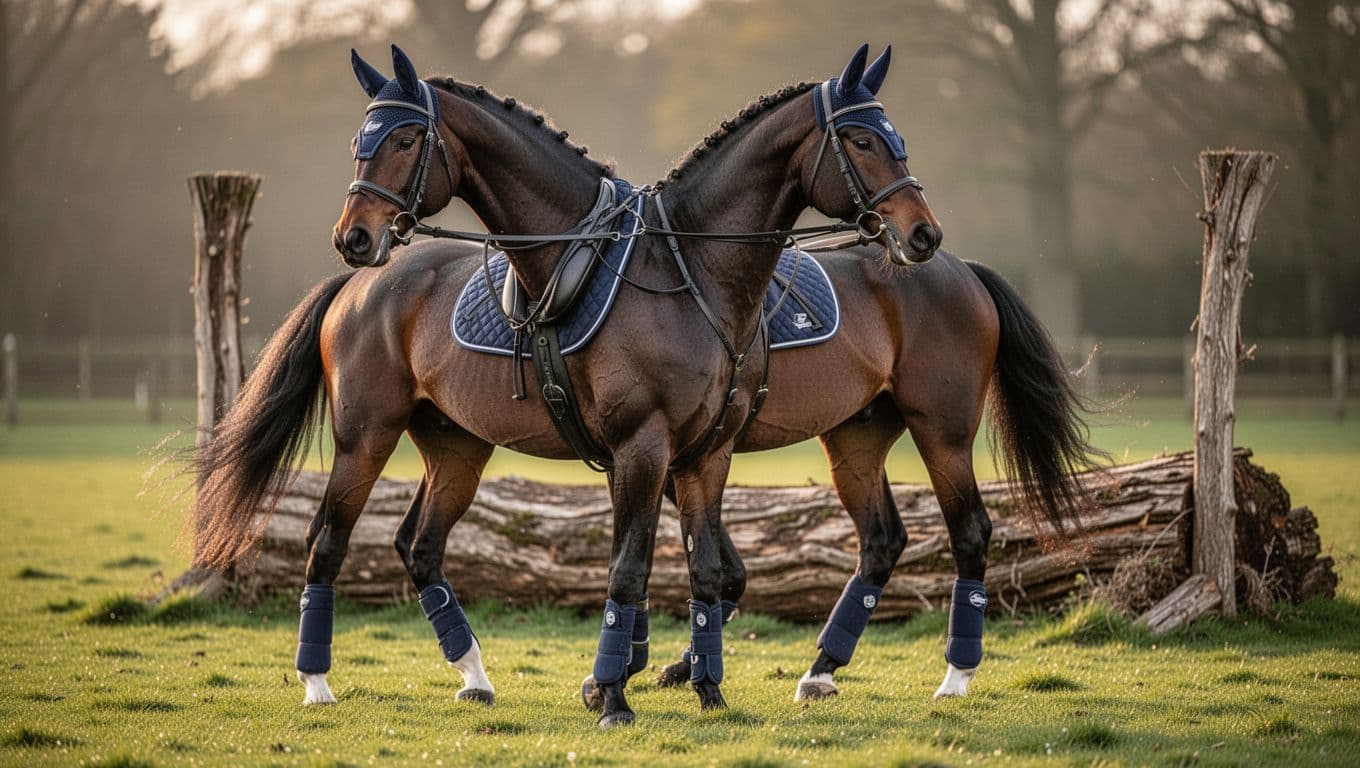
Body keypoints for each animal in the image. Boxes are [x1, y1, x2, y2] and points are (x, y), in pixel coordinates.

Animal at [190, 43, 941, 728]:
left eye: (404, 138)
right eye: (863, 139)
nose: (922, 234)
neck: (687, 272)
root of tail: (359, 287)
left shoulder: (705, 454)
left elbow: (701, 570)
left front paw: (704, 690)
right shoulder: (642, 448)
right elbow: (629, 570)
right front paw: (613, 697)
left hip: (456, 445)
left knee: (419, 547)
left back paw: (474, 676)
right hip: (365, 436)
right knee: (327, 543)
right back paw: (317, 684)